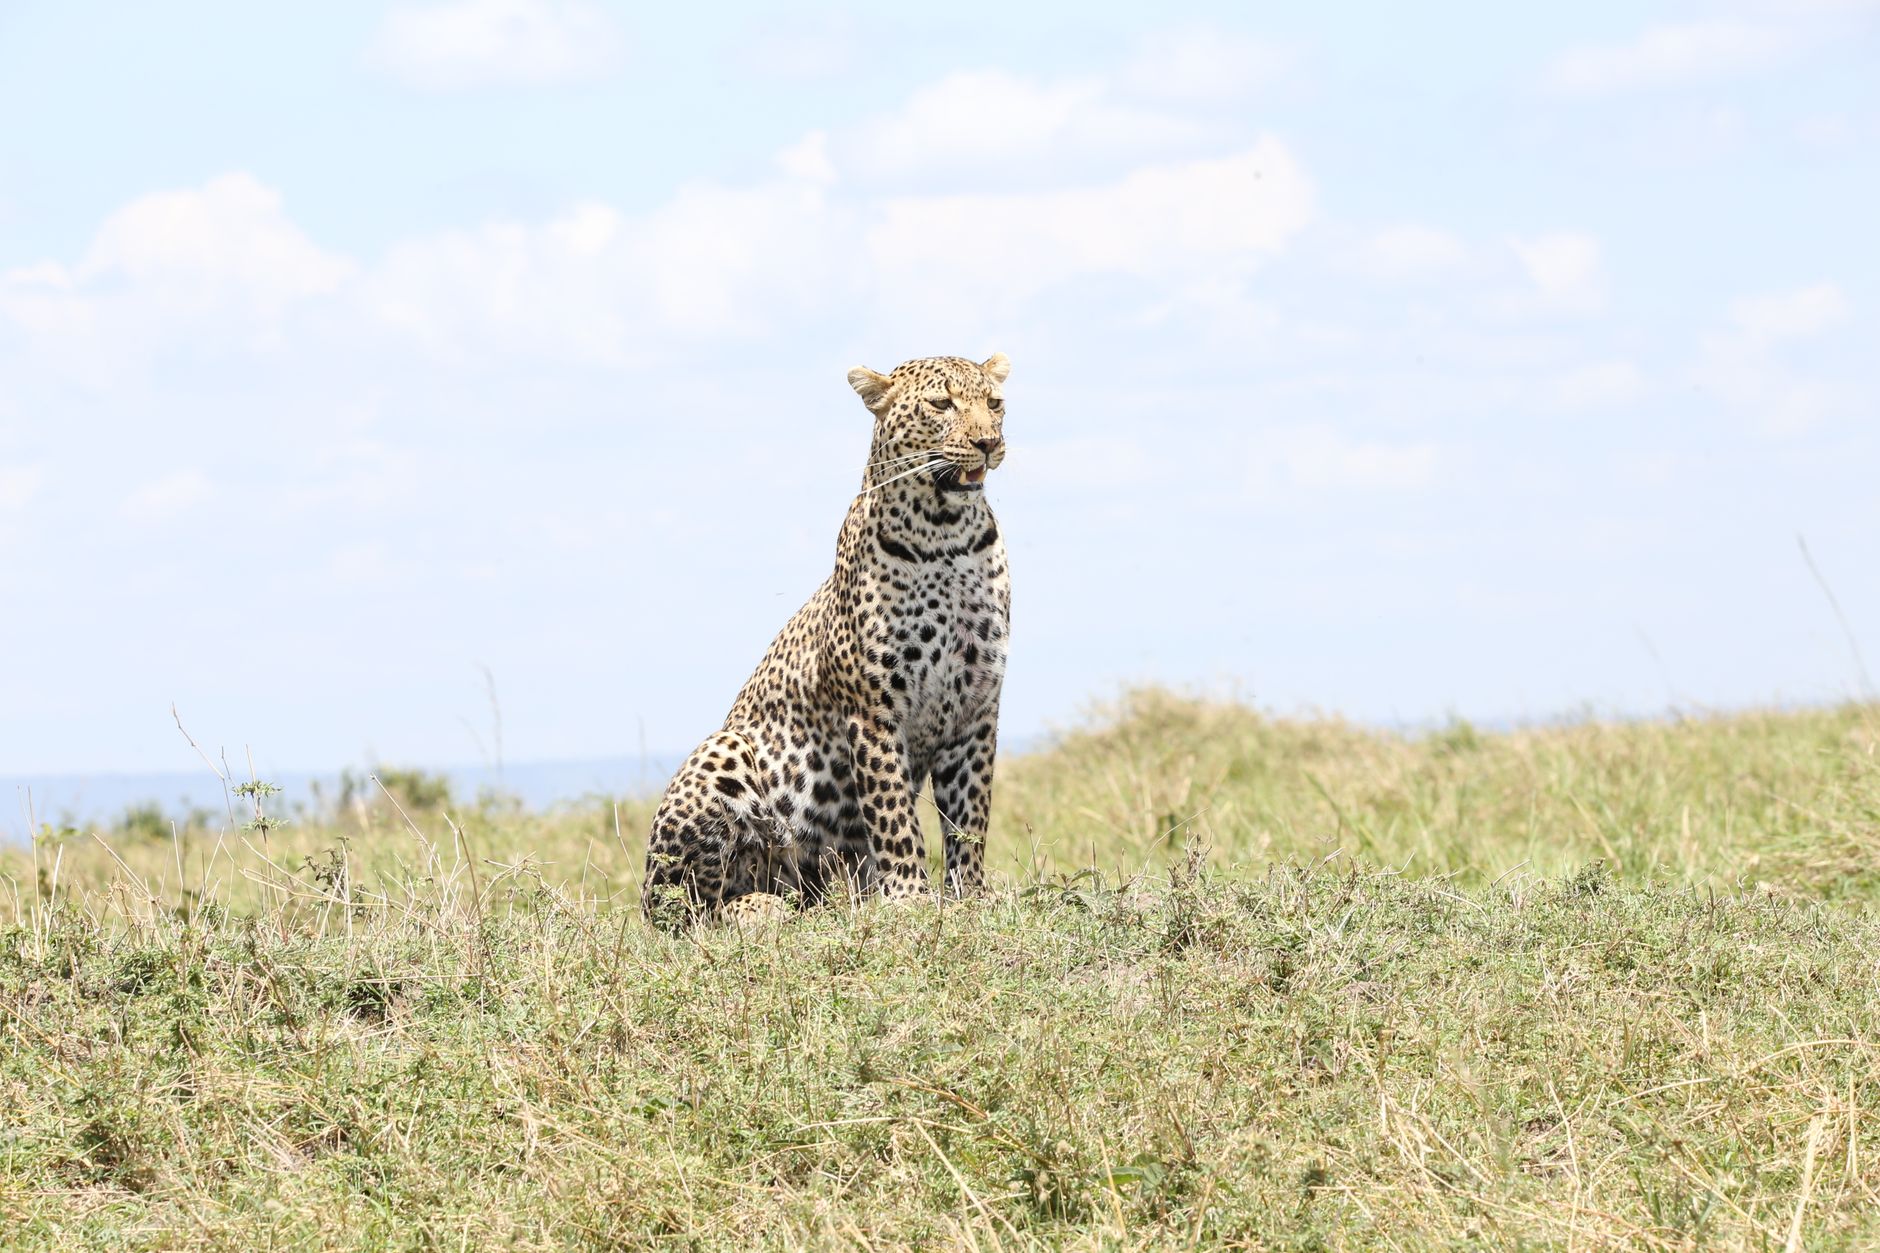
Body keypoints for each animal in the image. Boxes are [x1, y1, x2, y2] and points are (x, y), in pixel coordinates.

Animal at [641, 352, 1012, 930]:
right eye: (942, 404)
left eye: (995, 404)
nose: (988, 442)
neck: (946, 534)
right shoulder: (874, 708)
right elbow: (893, 814)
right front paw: (909, 898)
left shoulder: (977, 705)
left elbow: (970, 813)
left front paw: (970, 895)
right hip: (724, 752)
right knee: (682, 907)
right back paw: (756, 908)